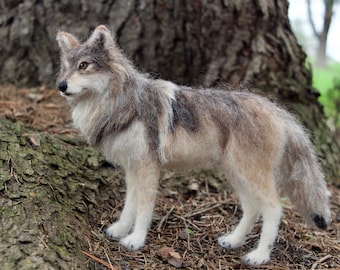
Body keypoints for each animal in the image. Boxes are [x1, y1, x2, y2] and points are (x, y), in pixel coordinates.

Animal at [55, 25, 330, 266]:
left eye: (84, 65)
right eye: (65, 68)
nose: (61, 86)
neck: (122, 103)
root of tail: (279, 111)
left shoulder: (147, 168)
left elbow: (143, 208)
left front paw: (136, 240)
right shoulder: (133, 169)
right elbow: (129, 205)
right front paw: (121, 230)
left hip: (251, 176)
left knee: (273, 210)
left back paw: (259, 256)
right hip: (237, 175)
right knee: (252, 209)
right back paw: (233, 241)